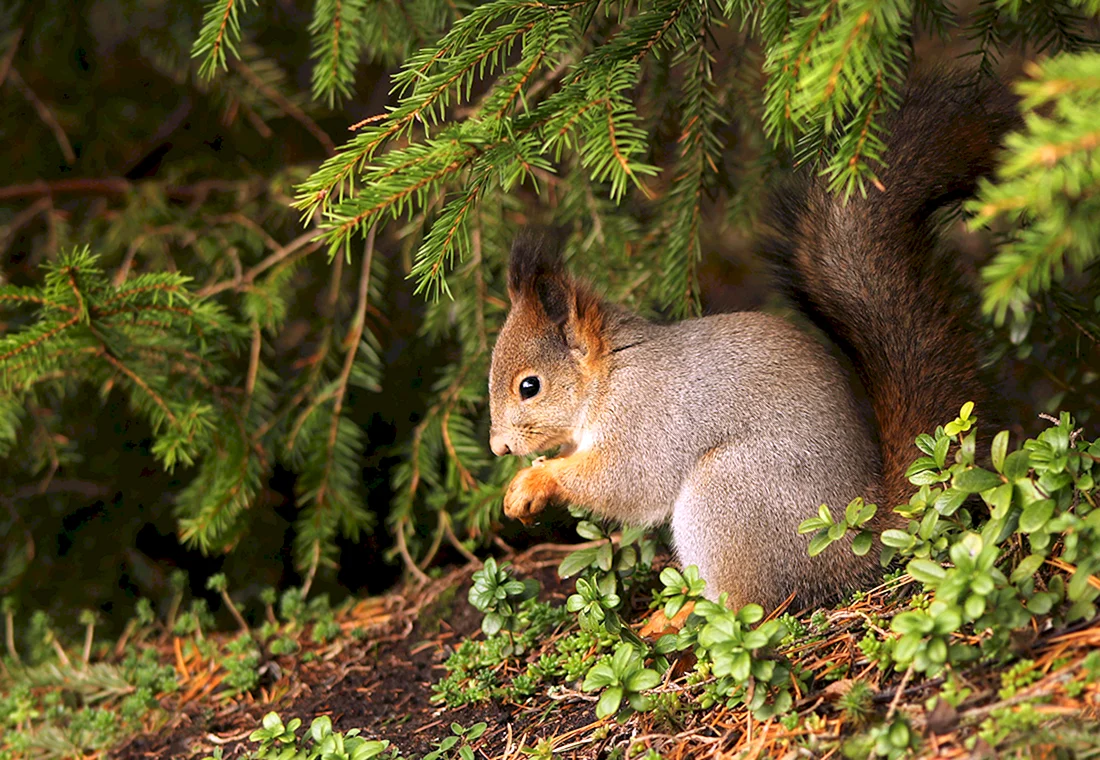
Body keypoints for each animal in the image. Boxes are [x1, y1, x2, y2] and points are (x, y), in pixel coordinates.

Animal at [490, 74, 1020, 611]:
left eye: (529, 386)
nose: (498, 447)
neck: (611, 375)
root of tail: (853, 536)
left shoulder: (645, 421)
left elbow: (626, 482)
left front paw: (535, 481)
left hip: (730, 494)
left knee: (748, 605)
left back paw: (677, 618)